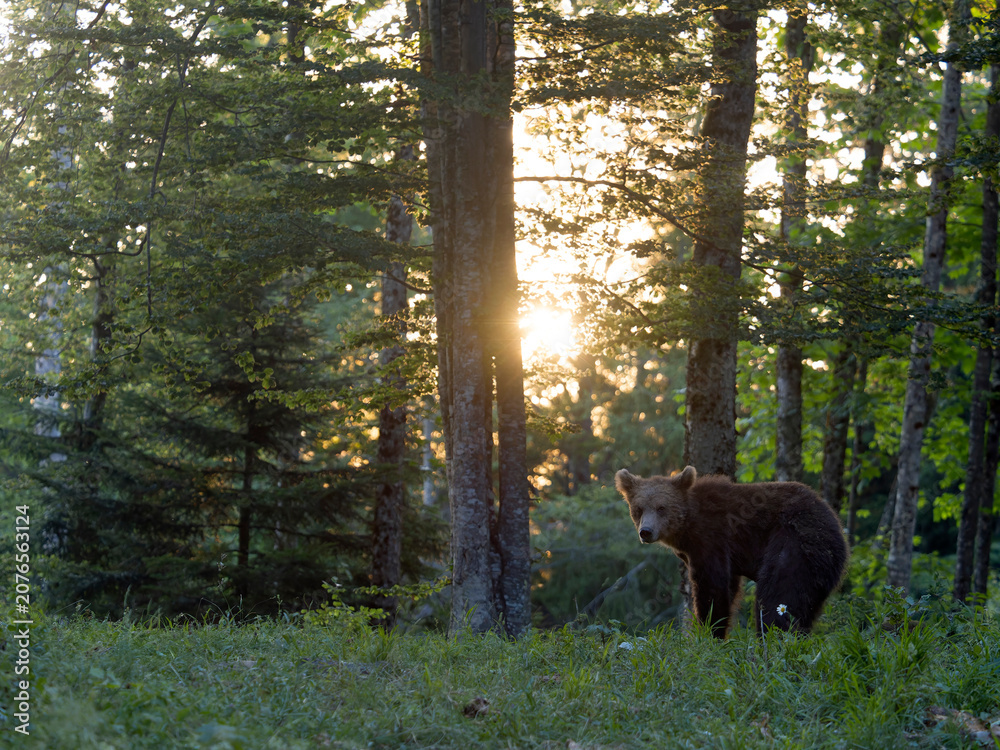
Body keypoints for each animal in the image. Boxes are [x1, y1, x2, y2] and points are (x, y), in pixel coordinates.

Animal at [615, 466, 848, 638]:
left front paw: (709, 632)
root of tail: (838, 527)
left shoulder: (712, 538)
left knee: (778, 597)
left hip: (795, 545)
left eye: (661, 507)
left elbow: (712, 588)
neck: (687, 528)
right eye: (638, 509)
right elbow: (728, 588)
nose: (646, 532)